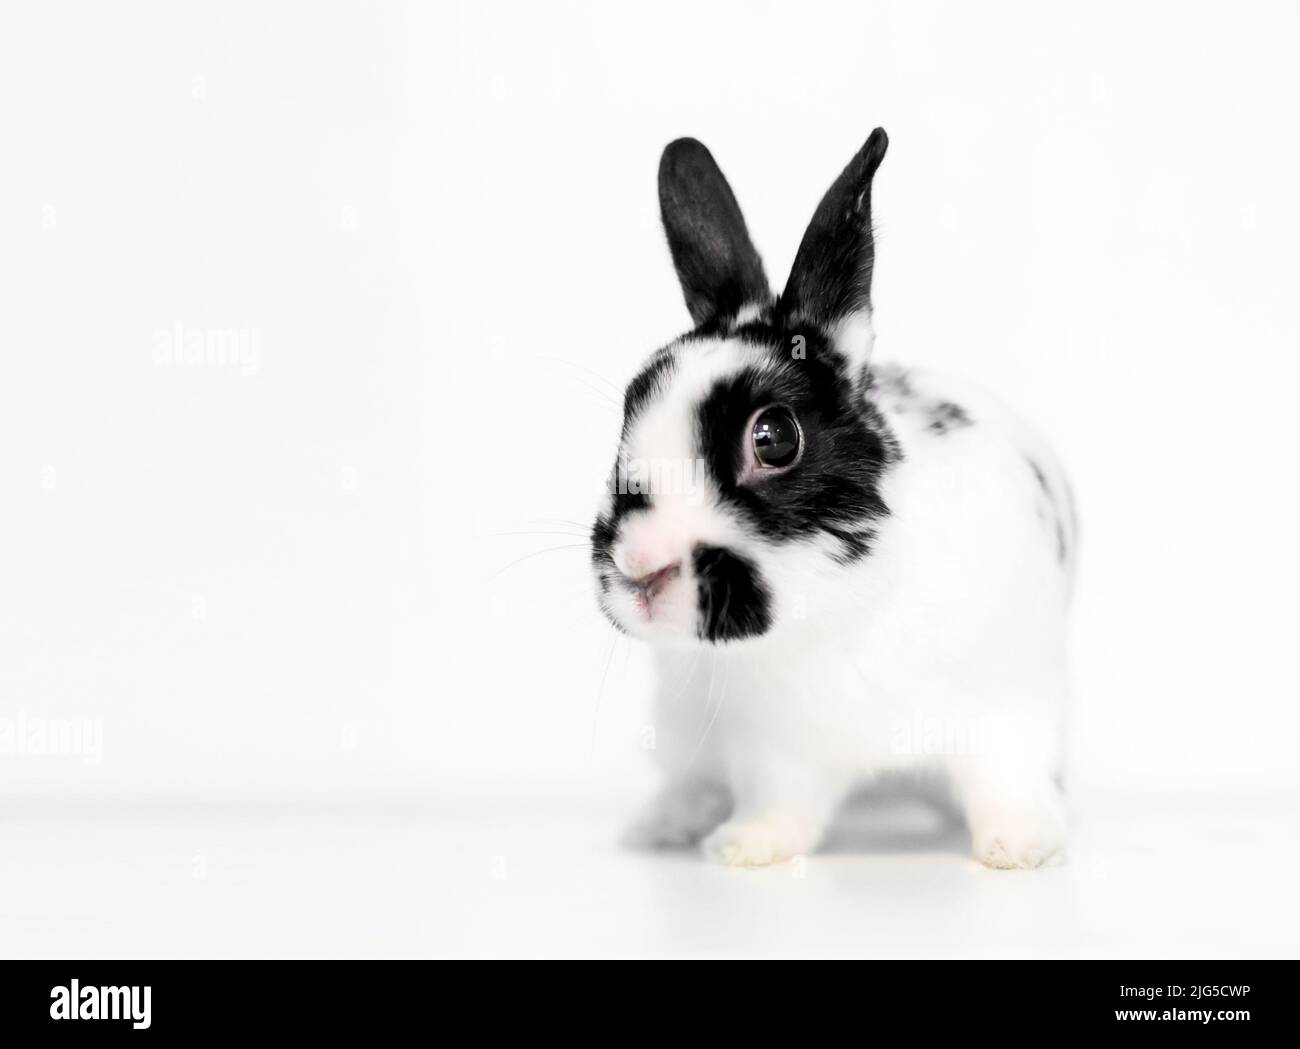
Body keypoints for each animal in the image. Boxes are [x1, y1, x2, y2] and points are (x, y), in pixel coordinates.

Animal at [592, 127, 1076, 868]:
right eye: (626, 414)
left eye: (774, 437)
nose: (640, 565)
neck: (838, 611)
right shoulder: (778, 754)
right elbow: (781, 804)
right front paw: (747, 847)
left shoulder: (1009, 711)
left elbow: (1008, 781)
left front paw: (1019, 848)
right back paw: (663, 824)